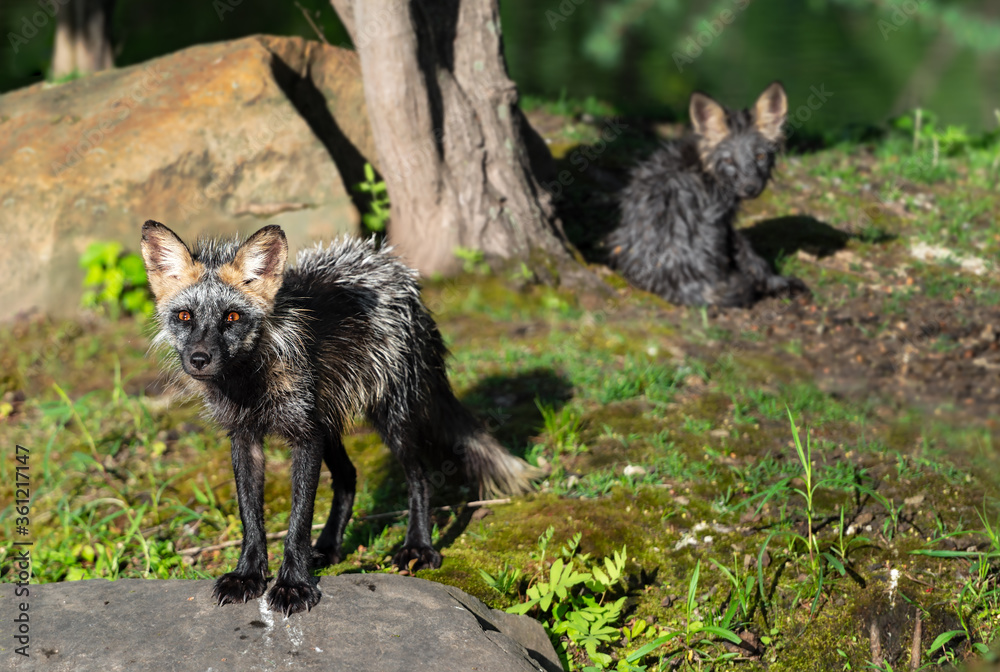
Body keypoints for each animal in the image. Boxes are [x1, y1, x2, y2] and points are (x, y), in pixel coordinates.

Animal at [140, 221, 542, 616]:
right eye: (185, 316)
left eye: (232, 317)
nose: (199, 359)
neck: (251, 385)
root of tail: (391, 265)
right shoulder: (245, 438)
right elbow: (251, 518)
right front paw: (248, 576)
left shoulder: (305, 437)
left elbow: (299, 520)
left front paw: (293, 584)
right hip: (329, 423)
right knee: (349, 477)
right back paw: (329, 546)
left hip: (391, 419)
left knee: (420, 476)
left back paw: (418, 546)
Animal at [606, 82, 808, 307]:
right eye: (728, 161)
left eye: (760, 156)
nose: (750, 188)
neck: (705, 168)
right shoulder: (723, 222)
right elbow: (752, 262)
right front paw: (778, 283)